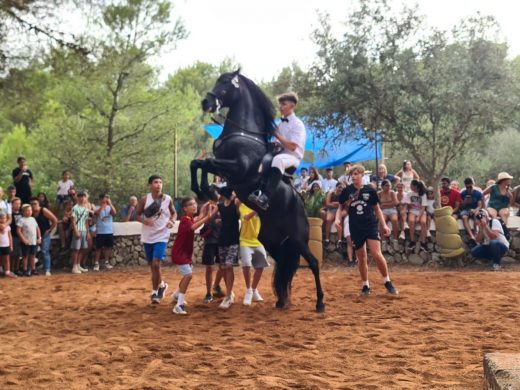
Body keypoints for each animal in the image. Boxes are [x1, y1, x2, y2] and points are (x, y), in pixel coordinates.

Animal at [189, 71, 322, 314]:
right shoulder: (227, 170)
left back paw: (320, 303)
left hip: (298, 239)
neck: (242, 132)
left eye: (225, 83)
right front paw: (203, 189)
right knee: (284, 267)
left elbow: (207, 162)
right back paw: (282, 301)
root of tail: (301, 205)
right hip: (274, 242)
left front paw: (204, 189)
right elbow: (199, 162)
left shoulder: (238, 168)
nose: (206, 102)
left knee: (314, 264)